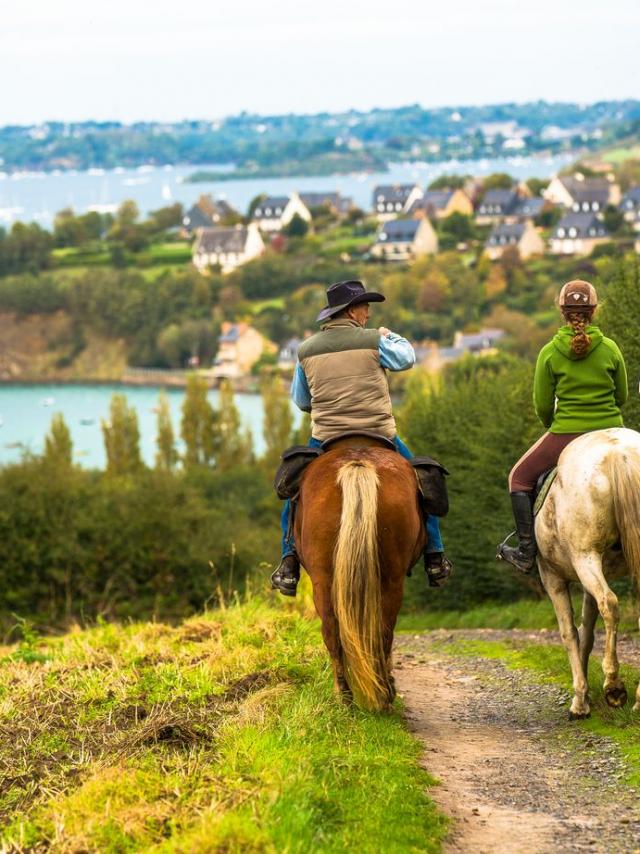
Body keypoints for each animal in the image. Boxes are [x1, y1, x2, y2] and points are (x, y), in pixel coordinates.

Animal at [294, 436, 426, 711]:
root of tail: (357, 463)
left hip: (326, 581)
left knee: (337, 633)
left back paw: (352, 698)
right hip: (389, 579)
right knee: (380, 631)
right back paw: (374, 695)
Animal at [535, 427, 640, 719]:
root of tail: (619, 452)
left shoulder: (551, 577)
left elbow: (569, 632)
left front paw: (580, 701)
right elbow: (587, 634)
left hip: (585, 557)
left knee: (609, 603)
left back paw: (613, 686)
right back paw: (638, 699)